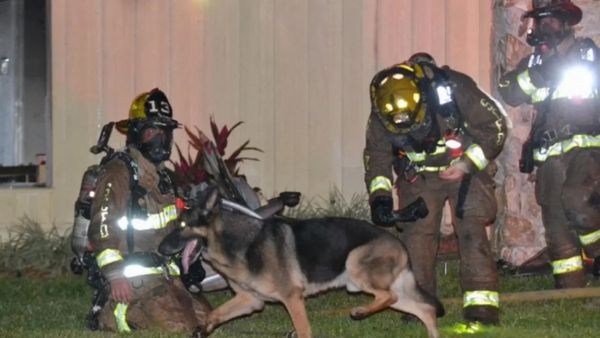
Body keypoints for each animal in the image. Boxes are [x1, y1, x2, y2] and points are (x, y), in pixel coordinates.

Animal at [162, 187, 442, 338]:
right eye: (175, 224)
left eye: (184, 225)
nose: (159, 249)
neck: (237, 242)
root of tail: (399, 242)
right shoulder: (250, 300)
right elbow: (216, 312)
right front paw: (203, 327)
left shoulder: (292, 298)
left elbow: (304, 330)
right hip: (390, 288)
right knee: (424, 309)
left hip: (355, 266)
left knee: (388, 297)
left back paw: (360, 311)